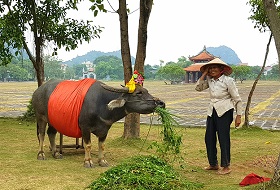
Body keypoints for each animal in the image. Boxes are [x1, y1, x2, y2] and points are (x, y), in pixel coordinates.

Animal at [32, 78, 165, 168]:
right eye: (138, 93)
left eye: (146, 91)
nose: (161, 103)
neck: (102, 104)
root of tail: (37, 91)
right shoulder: (85, 127)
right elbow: (88, 145)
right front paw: (88, 161)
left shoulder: (105, 129)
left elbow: (102, 145)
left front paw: (102, 161)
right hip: (40, 116)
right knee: (41, 134)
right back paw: (41, 154)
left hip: (53, 120)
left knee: (51, 133)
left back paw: (56, 153)